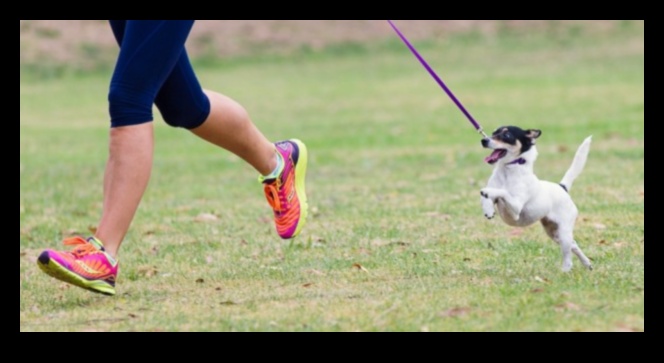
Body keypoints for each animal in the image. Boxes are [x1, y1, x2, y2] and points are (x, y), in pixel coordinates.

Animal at [480, 126, 592, 272]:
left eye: (506, 135)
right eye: (494, 133)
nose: (484, 140)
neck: (507, 171)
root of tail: (562, 187)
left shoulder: (515, 209)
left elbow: (502, 192)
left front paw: (487, 192)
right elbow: (489, 198)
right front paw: (488, 209)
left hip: (564, 232)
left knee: (568, 256)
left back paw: (565, 271)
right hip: (554, 233)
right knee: (574, 244)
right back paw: (587, 263)